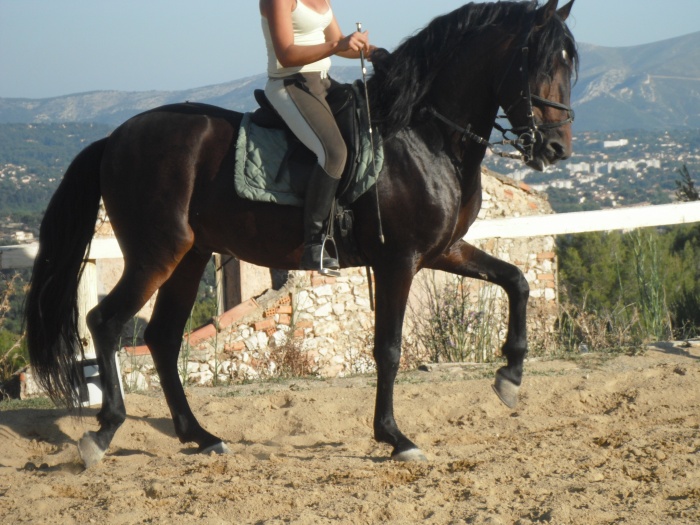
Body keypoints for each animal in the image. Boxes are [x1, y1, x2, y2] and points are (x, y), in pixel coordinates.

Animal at [24, 0, 576, 466]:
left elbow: (516, 281)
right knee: (105, 322)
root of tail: (115, 138)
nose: (555, 148)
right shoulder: (399, 259)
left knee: (161, 337)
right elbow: (389, 348)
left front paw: (510, 377)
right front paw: (395, 437)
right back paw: (102, 433)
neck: (425, 135)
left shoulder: (443, 250)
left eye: (571, 66)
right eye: (539, 62)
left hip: (189, 256)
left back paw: (200, 436)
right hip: (155, 253)